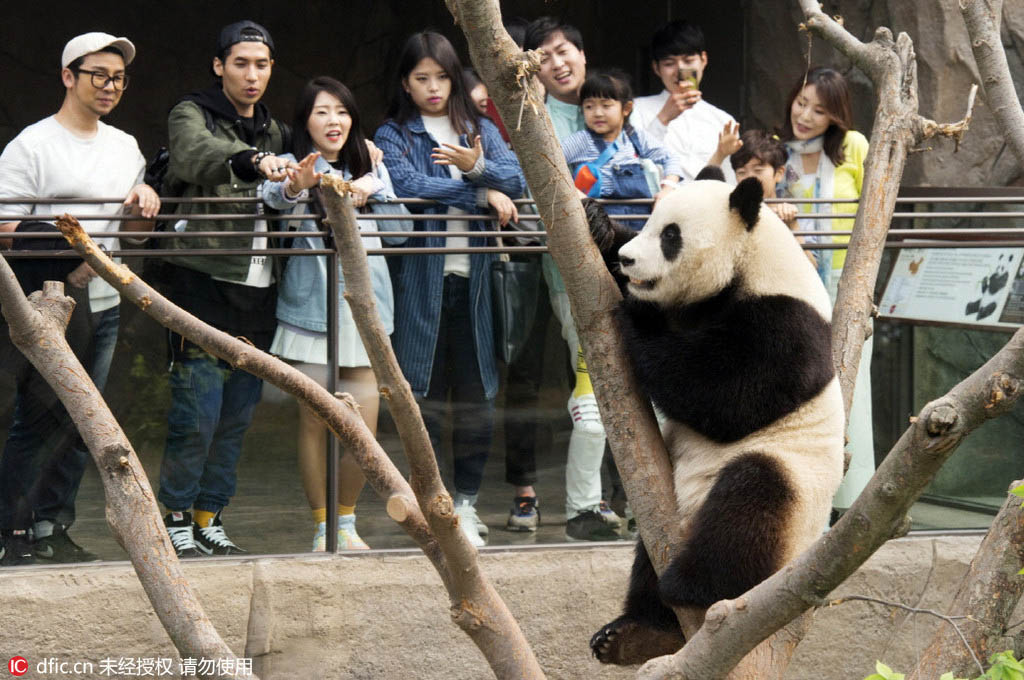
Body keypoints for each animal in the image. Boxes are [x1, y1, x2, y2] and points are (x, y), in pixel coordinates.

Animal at [589, 174, 843, 663]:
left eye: (671, 236)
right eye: (648, 222)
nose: (629, 260)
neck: (749, 261)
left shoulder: (787, 325)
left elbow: (726, 397)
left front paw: (638, 314)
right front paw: (601, 228)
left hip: (794, 497)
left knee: (749, 503)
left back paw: (688, 587)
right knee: (647, 554)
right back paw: (638, 635)